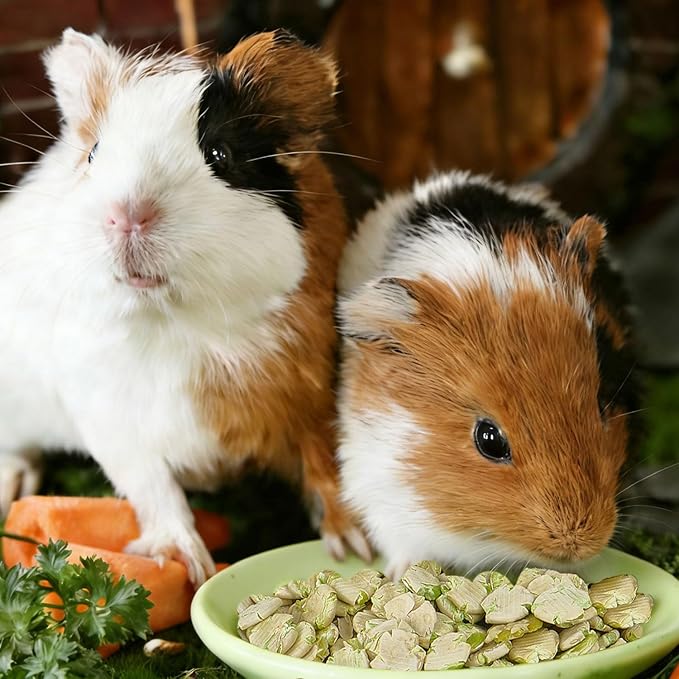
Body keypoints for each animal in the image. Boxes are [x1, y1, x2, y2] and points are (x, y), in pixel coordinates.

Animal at [0, 28, 369, 584]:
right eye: (94, 154)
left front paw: (356, 547)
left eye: (218, 152)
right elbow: (154, 487)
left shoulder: (314, 396)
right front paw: (183, 563)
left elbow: (328, 465)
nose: (127, 216)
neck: (180, 323)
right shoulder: (109, 417)